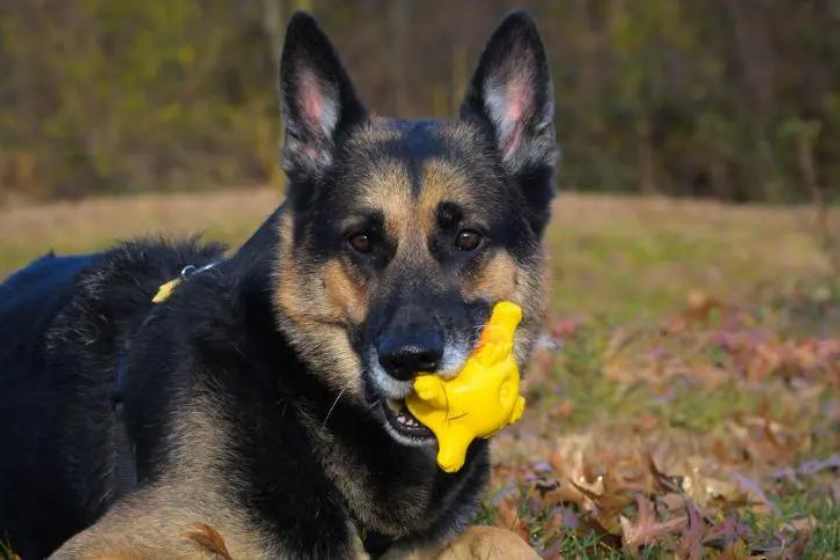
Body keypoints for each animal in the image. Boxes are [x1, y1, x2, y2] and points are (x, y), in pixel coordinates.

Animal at [0, 9, 556, 560]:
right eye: (361, 240)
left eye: (467, 238)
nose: (410, 359)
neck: (292, 382)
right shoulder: (115, 541)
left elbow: (500, 535)